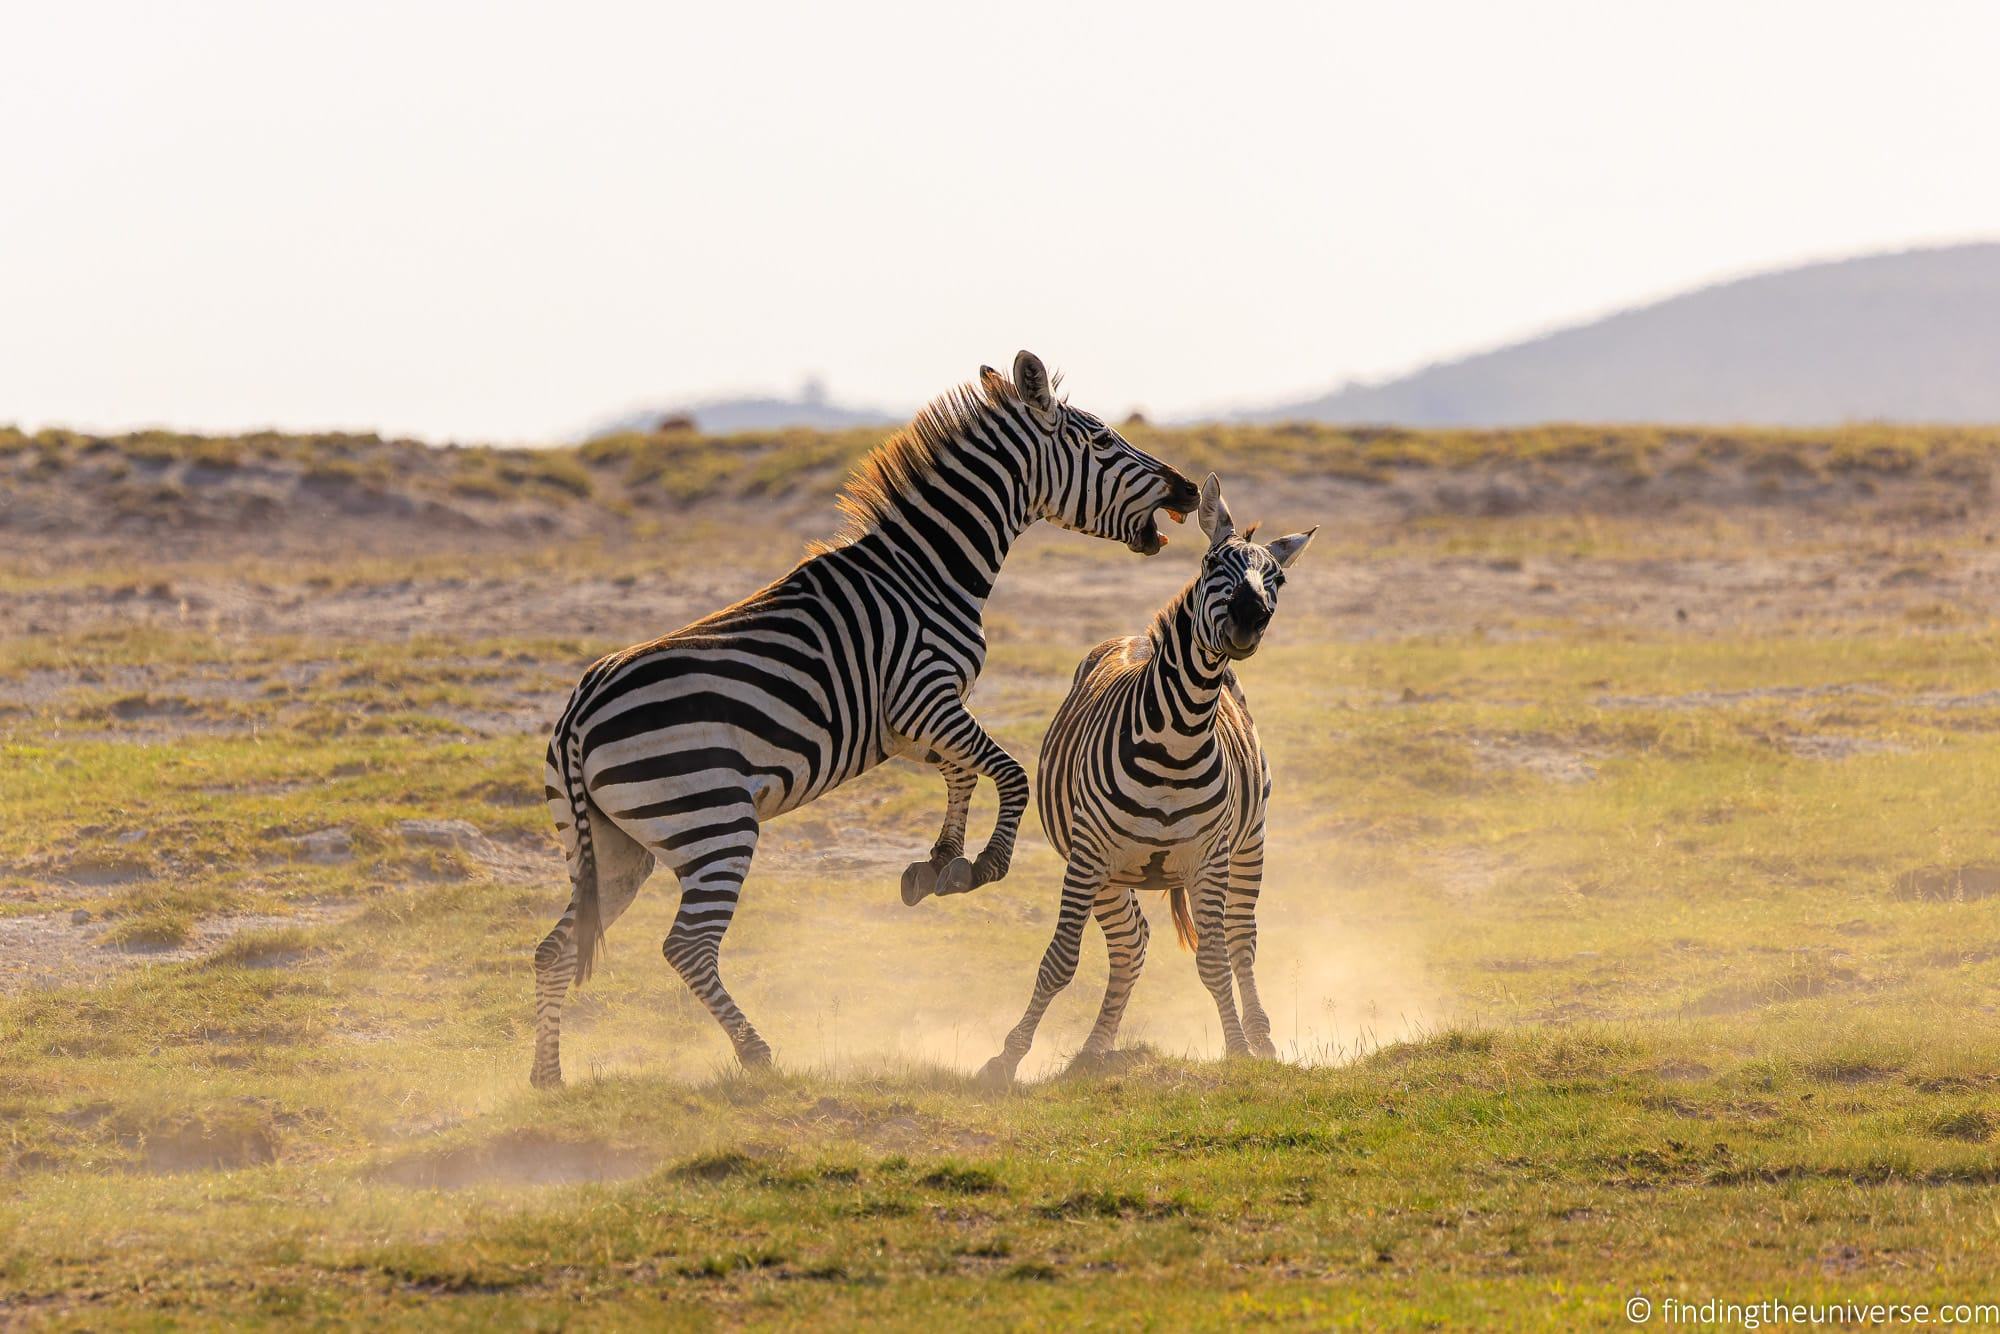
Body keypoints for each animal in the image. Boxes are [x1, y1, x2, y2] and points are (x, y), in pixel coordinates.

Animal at [524, 352, 1200, 1088]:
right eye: (1102, 441)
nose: (1191, 490)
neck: (927, 571)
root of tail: (579, 714)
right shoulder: (923, 695)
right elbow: (1009, 772)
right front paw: (986, 862)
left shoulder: (906, 725)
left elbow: (964, 774)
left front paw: (941, 862)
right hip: (713, 822)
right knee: (687, 947)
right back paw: (757, 1055)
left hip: (611, 849)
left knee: (555, 948)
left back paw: (548, 1077)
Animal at [980, 472, 1312, 1088]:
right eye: (1212, 563)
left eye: (1276, 579)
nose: (1249, 618)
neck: (1177, 739)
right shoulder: (1088, 854)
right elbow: (1059, 960)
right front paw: (1007, 1058)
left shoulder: (1209, 858)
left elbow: (1214, 960)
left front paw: (1237, 1049)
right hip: (1109, 872)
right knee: (1130, 945)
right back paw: (1094, 1048)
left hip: (1250, 844)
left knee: (1240, 941)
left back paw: (1260, 1037)